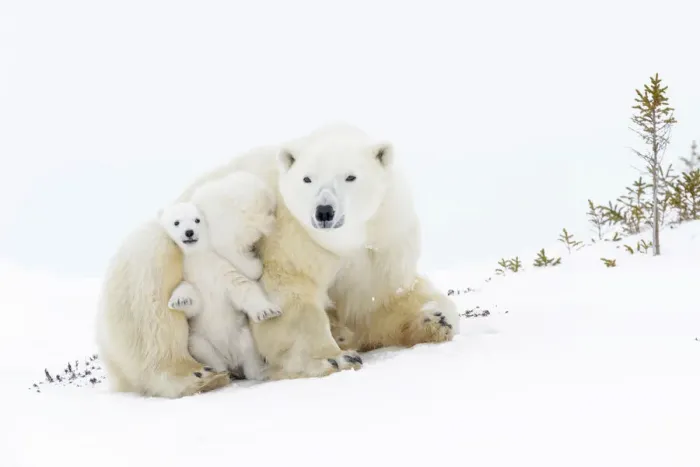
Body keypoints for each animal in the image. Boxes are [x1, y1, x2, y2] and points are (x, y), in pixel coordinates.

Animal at [95, 122, 459, 396]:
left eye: (350, 176)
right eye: (307, 178)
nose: (323, 212)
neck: (346, 240)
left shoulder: (383, 240)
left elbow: (376, 298)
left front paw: (435, 318)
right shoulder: (291, 231)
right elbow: (290, 292)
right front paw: (334, 359)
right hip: (153, 266)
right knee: (152, 300)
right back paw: (199, 375)